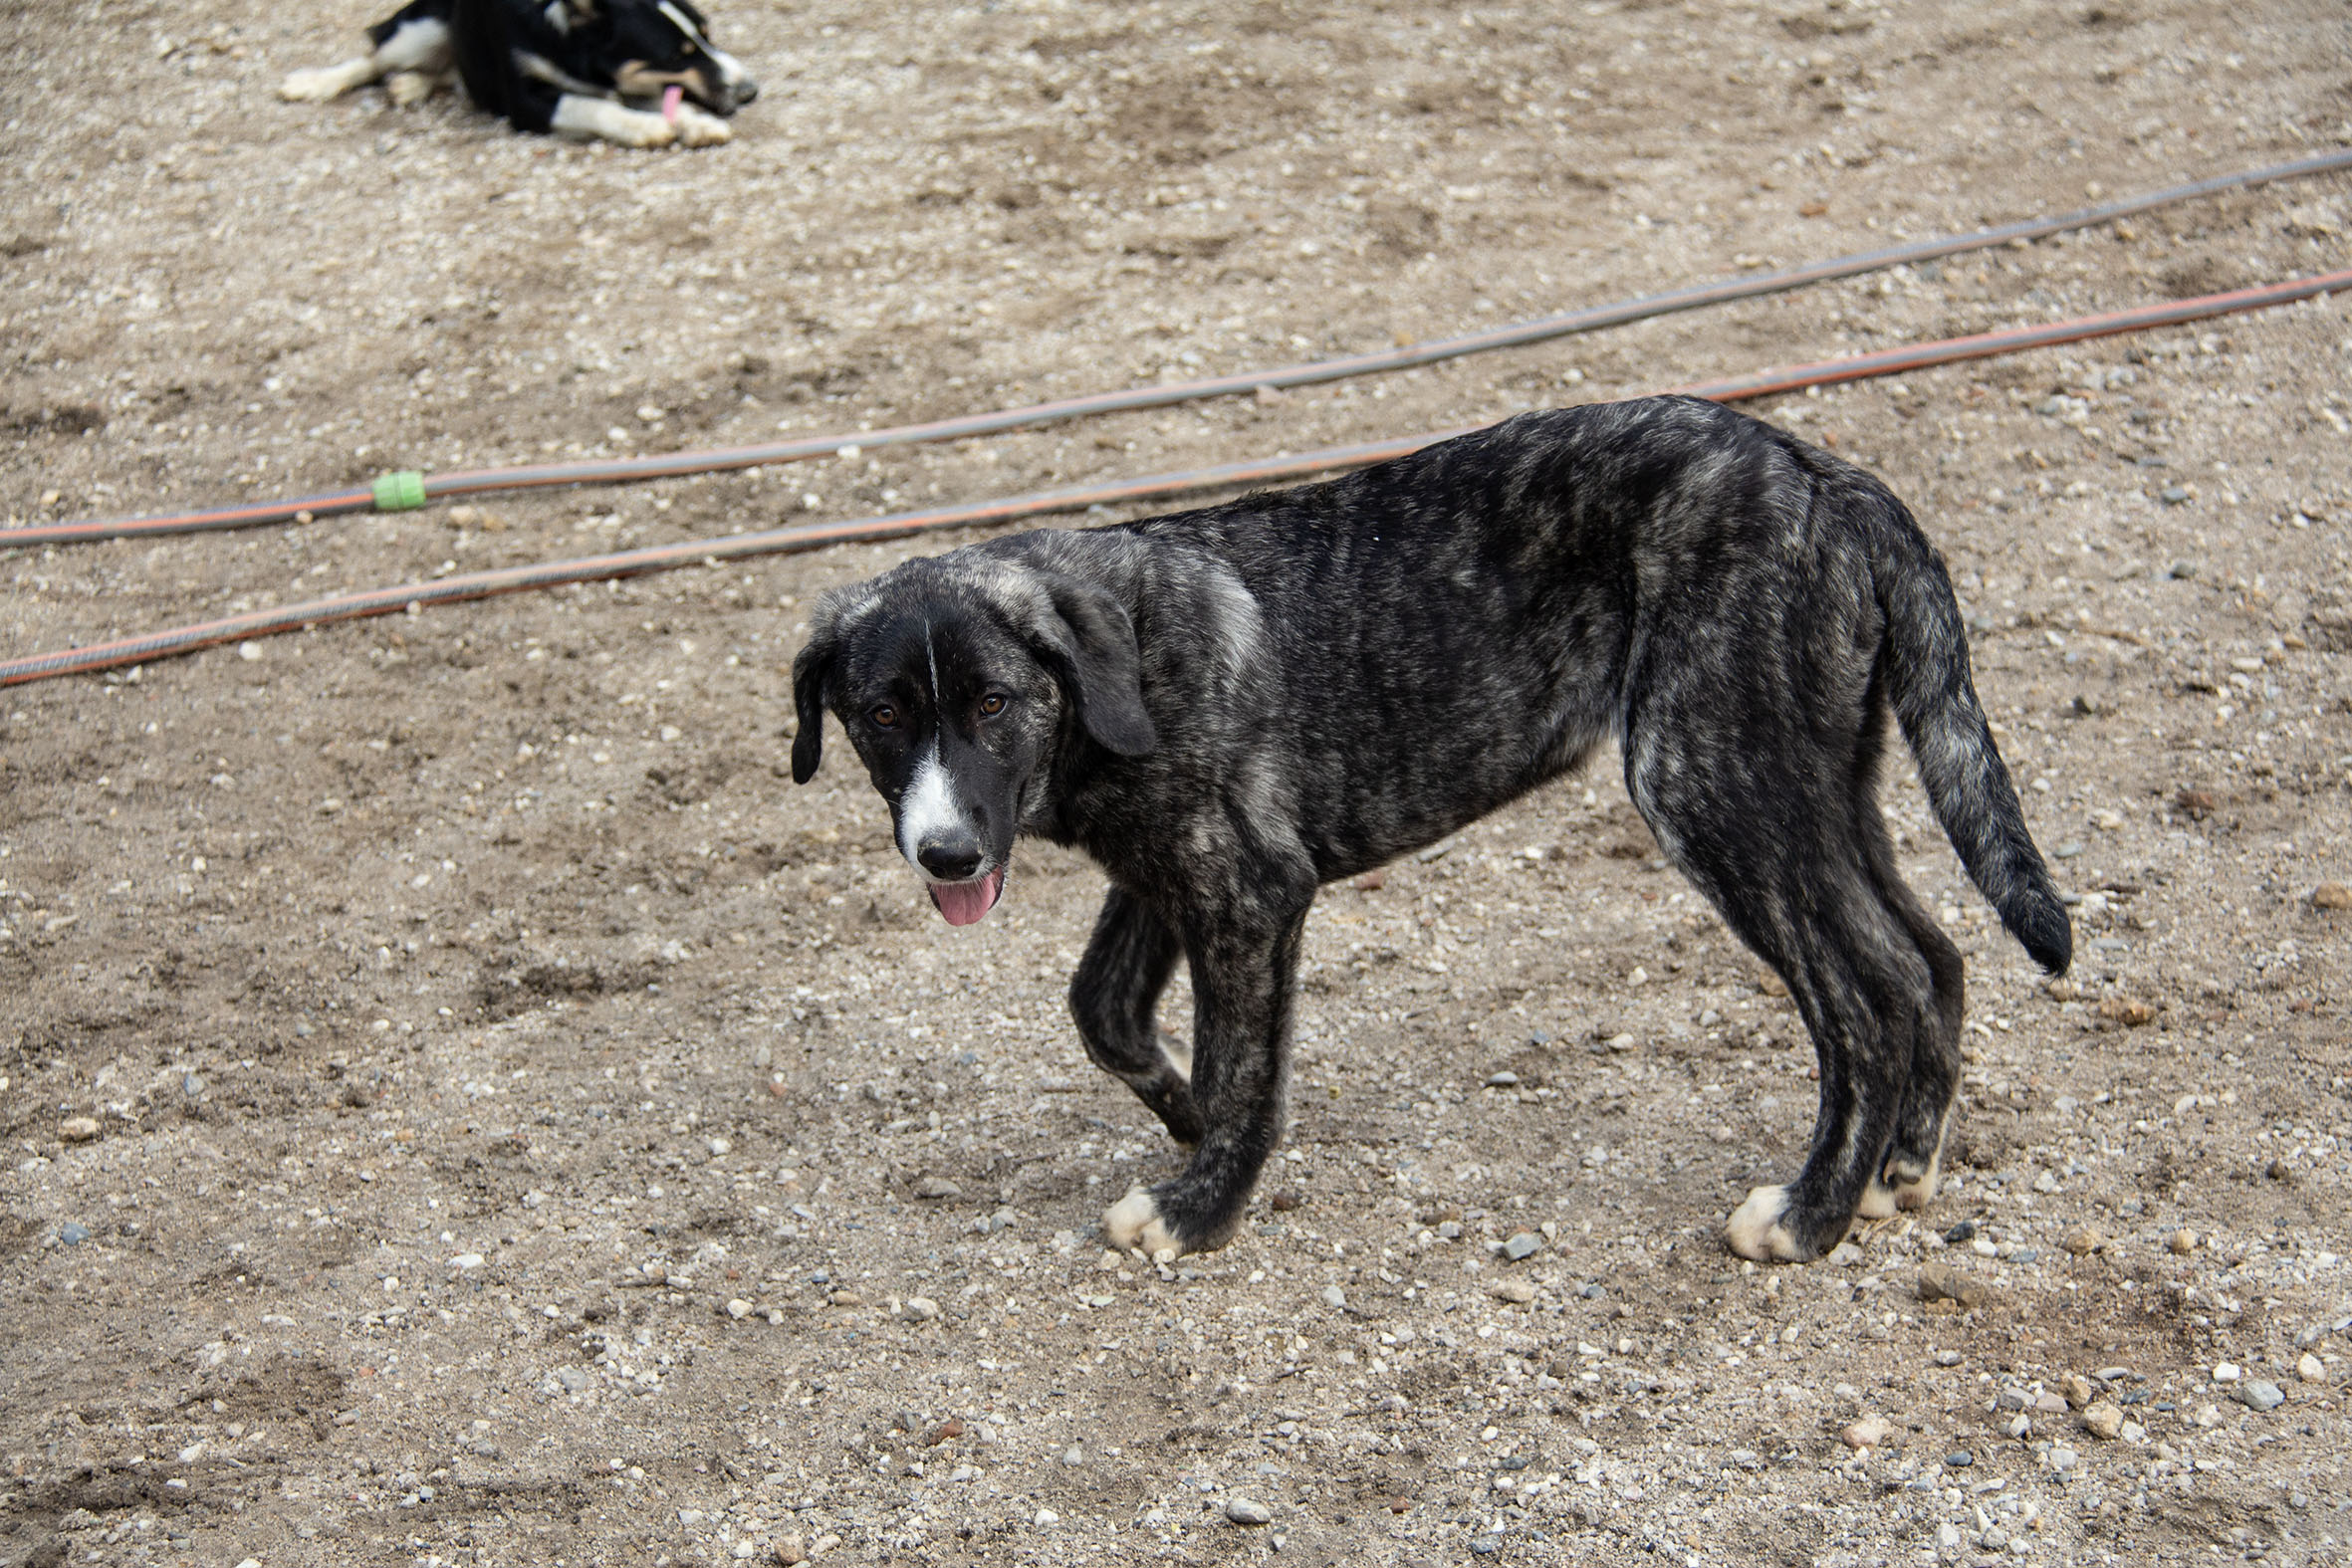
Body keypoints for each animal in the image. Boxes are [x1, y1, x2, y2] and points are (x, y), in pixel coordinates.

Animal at [281, 0, 756, 148]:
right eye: (677, 55)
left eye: (707, 35)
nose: (751, 91)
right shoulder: (524, 101)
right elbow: (589, 106)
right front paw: (645, 128)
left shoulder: (626, 79)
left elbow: (660, 99)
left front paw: (695, 123)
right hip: (420, 29)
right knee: (374, 56)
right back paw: (314, 82)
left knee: (453, 75)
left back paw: (412, 83)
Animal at [789, 397, 2072, 1265]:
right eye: (879, 715)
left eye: (993, 705)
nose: (946, 854)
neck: (1126, 662)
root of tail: (1823, 473)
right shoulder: (1166, 873)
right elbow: (1106, 1012)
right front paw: (1199, 1134)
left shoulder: (1249, 888)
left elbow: (1238, 1053)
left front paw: (1204, 1202)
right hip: (1811, 788)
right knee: (1929, 957)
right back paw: (1900, 1170)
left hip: (1706, 785)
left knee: (1866, 996)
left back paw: (1810, 1215)